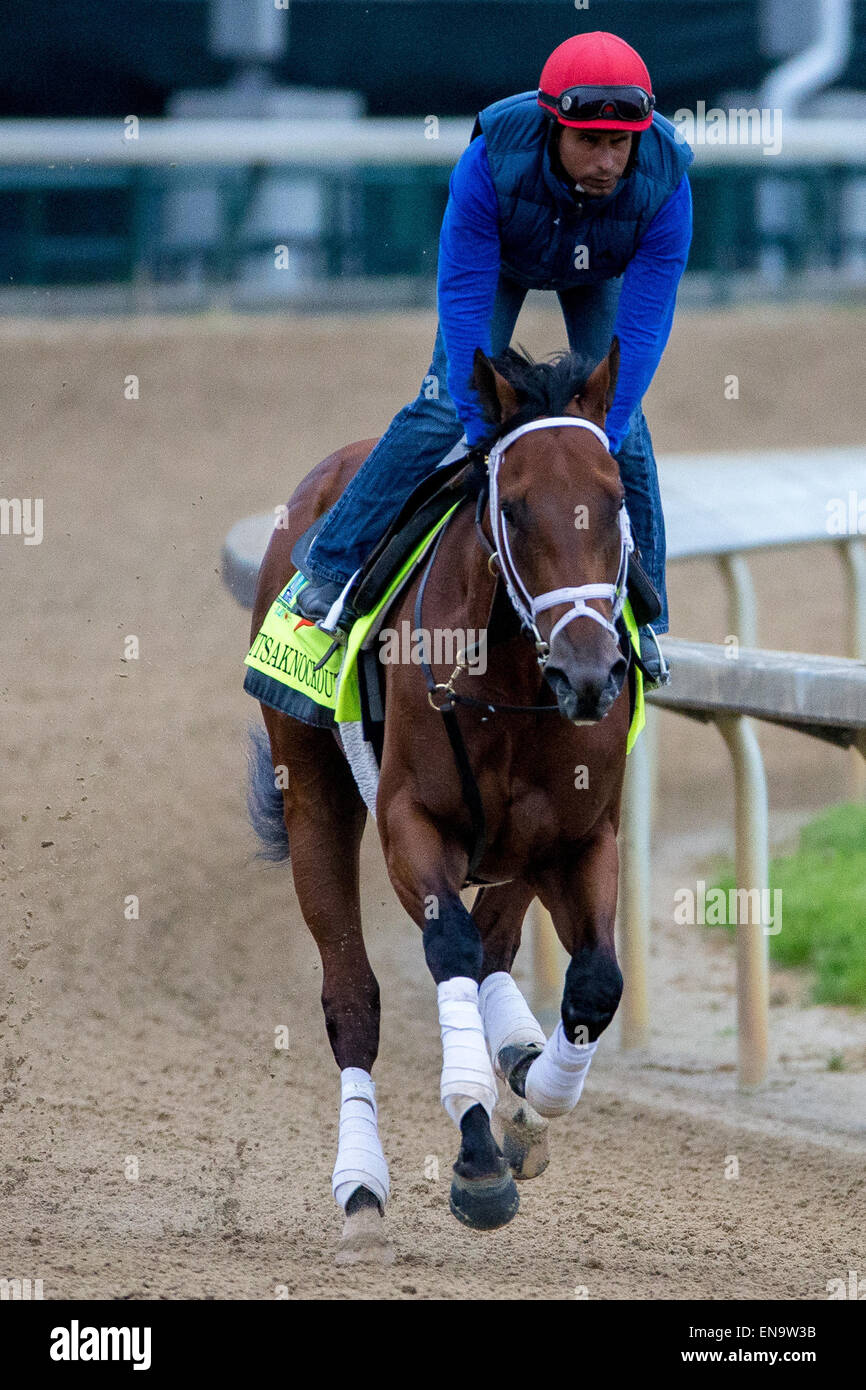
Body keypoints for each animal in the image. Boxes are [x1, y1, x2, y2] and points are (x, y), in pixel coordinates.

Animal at [247, 336, 633, 1262]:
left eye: (613, 501)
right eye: (517, 509)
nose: (591, 673)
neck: (517, 685)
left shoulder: (580, 836)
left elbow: (594, 984)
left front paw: (533, 1091)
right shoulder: (410, 825)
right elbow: (447, 948)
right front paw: (479, 1156)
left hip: (518, 848)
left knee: (499, 946)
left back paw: (521, 1056)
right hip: (314, 797)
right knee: (355, 998)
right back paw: (361, 1188)